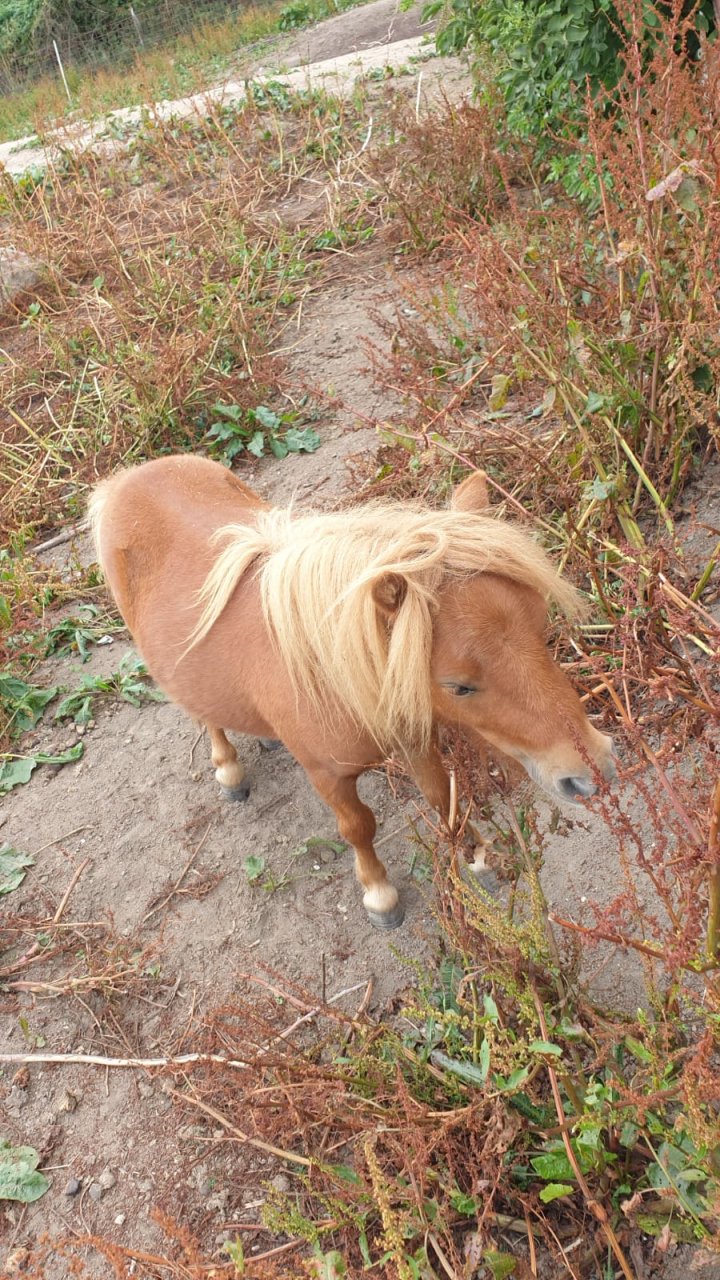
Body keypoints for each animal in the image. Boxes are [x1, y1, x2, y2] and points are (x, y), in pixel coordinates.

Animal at [88, 455, 609, 926]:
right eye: (458, 685)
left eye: (542, 628)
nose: (595, 772)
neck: (328, 673)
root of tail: (125, 479)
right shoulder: (329, 776)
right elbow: (359, 827)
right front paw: (380, 896)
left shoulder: (414, 737)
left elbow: (443, 798)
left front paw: (478, 858)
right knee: (204, 714)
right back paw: (228, 770)